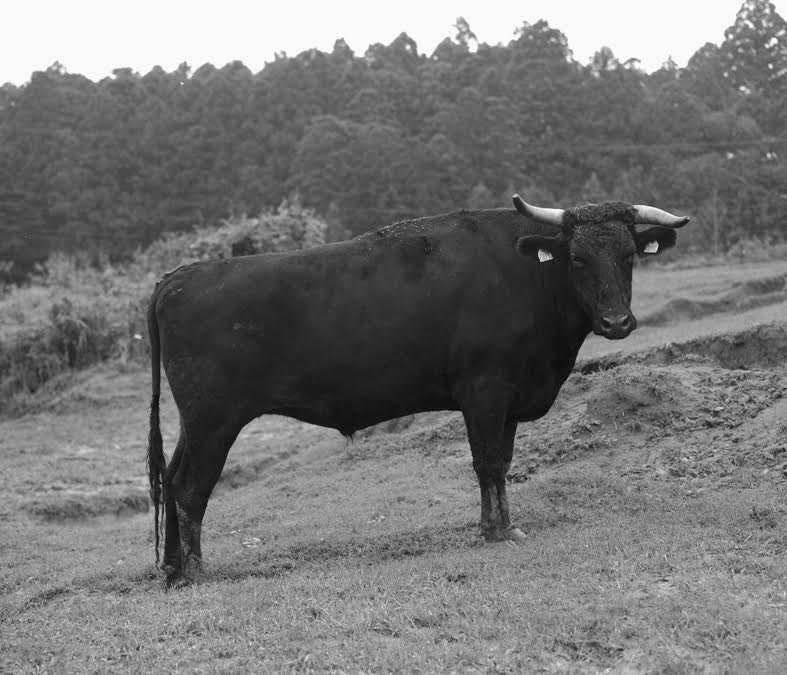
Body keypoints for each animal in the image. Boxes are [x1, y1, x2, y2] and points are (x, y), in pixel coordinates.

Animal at [146, 195, 689, 588]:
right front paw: (495, 532)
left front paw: (506, 525)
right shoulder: (484, 390)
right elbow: (487, 461)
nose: (617, 323)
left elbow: (504, 461)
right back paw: (195, 573)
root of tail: (177, 277)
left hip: (196, 423)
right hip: (214, 420)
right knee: (190, 488)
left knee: (170, 479)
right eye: (577, 258)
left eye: (628, 255)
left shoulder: (511, 398)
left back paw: (172, 569)